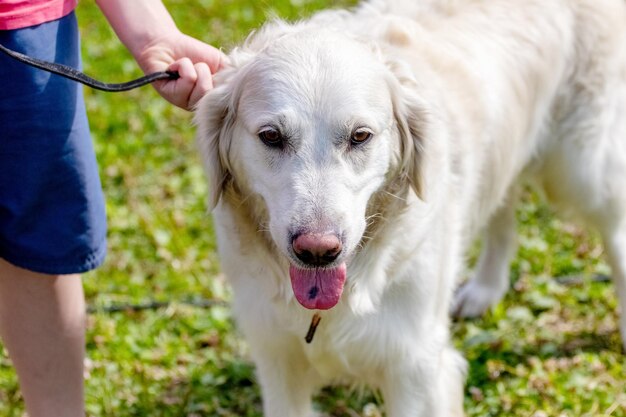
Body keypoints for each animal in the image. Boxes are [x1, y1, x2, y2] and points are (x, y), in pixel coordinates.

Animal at [195, 1, 624, 414]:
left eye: (360, 136)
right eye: (271, 136)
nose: (318, 251)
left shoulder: (415, 368)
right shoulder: (279, 362)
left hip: (581, 170)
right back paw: (485, 289)